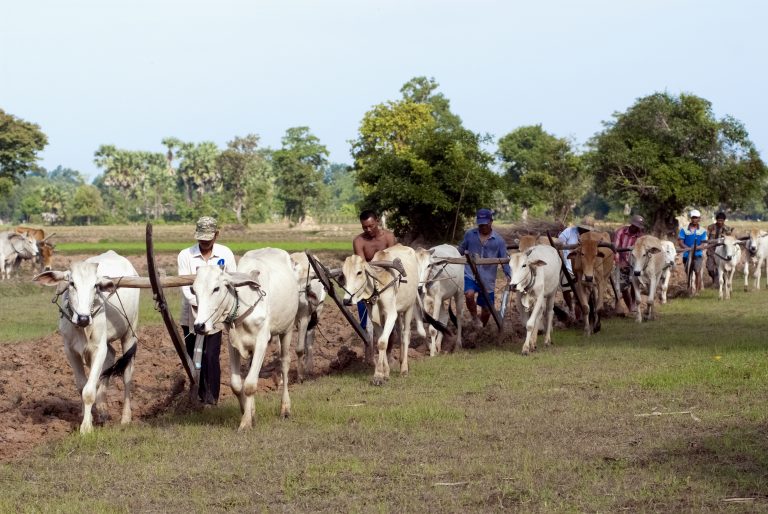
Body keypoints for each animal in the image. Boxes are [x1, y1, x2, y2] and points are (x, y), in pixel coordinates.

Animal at [33, 250, 140, 430]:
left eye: (95, 286)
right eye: (71, 283)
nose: (83, 318)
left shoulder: (99, 348)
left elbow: (89, 391)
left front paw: (86, 428)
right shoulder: (70, 351)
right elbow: (82, 386)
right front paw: (86, 416)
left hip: (129, 335)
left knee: (126, 375)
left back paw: (126, 417)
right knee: (110, 358)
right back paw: (102, 409)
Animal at [192, 247, 300, 428]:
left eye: (216, 288)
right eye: (194, 290)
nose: (199, 326)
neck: (244, 304)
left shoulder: (262, 341)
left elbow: (249, 384)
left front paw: (246, 422)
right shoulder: (232, 344)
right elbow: (236, 385)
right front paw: (248, 412)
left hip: (288, 329)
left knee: (285, 364)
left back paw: (285, 408)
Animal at [288, 250, 324, 378]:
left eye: (307, 286)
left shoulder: (304, 319)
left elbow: (299, 349)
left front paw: (300, 376)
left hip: (315, 314)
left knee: (309, 341)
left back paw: (308, 367)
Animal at [342, 244, 426, 384]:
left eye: (359, 272)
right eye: (343, 274)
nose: (346, 300)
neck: (378, 287)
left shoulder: (391, 314)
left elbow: (382, 342)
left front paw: (378, 375)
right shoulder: (375, 318)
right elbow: (381, 342)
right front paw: (384, 373)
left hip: (408, 308)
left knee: (405, 335)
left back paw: (404, 369)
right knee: (399, 332)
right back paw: (401, 362)